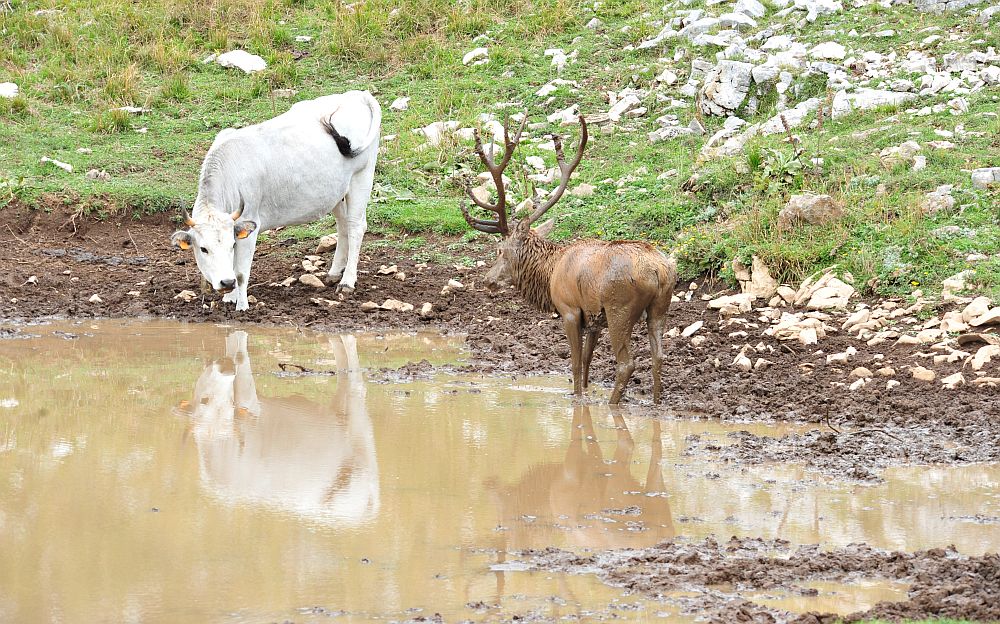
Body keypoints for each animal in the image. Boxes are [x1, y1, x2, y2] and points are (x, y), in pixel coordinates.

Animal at [170, 89, 380, 310]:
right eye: (203, 249)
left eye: (231, 245)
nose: (225, 283)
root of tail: (358, 94)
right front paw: (230, 297)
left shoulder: (250, 226)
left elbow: (241, 273)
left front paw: (241, 306)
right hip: (337, 192)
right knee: (343, 226)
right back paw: (333, 273)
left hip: (361, 177)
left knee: (356, 226)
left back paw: (347, 281)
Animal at [176, 332, 378, 528]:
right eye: (204, 400)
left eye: (230, 405)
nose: (226, 368)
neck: (219, 445)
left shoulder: (250, 402)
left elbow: (240, 352)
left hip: (363, 444)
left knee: (355, 377)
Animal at [462, 117, 680, 404]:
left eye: (500, 250)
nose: (487, 280)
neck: (549, 273)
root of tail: (658, 271)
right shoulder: (593, 320)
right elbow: (587, 361)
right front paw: (585, 392)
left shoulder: (569, 310)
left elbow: (575, 363)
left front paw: (576, 397)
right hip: (659, 307)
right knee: (659, 357)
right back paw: (654, 402)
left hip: (619, 307)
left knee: (626, 363)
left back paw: (612, 403)